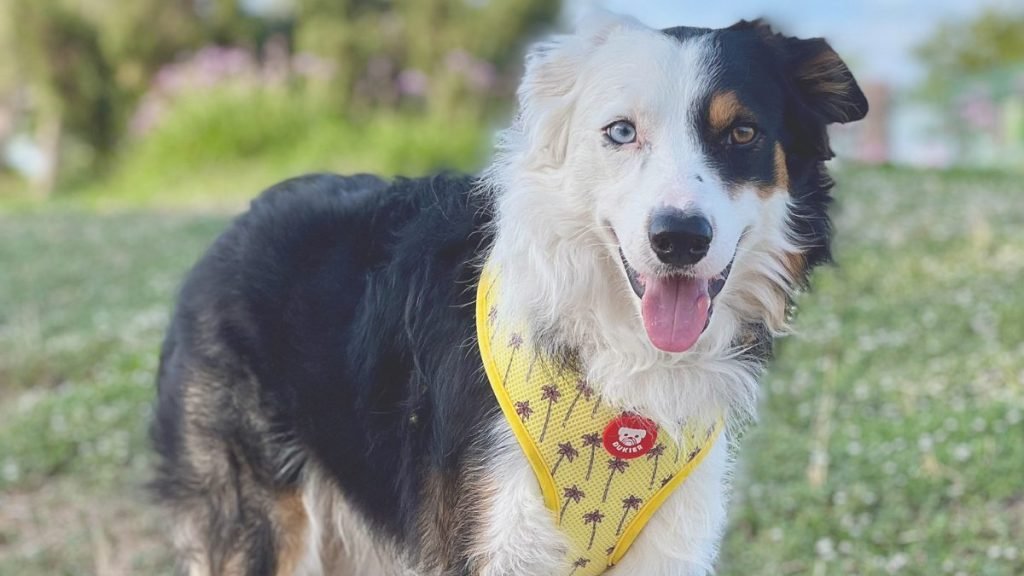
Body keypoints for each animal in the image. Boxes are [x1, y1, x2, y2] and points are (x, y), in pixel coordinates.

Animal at [151, 10, 868, 573]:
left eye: (742, 133)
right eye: (621, 131)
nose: (679, 239)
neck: (618, 360)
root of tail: (234, 225)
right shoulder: (484, 536)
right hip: (251, 512)